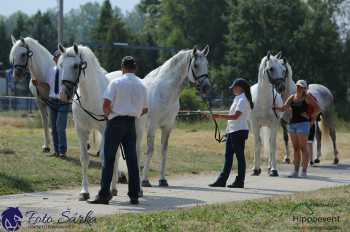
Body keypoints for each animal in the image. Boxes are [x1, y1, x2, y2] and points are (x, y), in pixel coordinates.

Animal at [59, 44, 126, 200]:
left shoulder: (104, 130)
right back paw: (114, 189)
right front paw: (84, 192)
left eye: (76, 65)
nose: (64, 94)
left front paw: (103, 192)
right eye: (61, 65)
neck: (90, 96)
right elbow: (84, 159)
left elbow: (104, 159)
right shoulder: (81, 130)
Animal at [137, 45, 211, 187]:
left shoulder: (168, 127)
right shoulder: (152, 126)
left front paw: (162, 180)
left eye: (207, 64)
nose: (206, 87)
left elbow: (164, 151)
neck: (165, 92)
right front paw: (145, 181)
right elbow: (150, 150)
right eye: (196, 65)